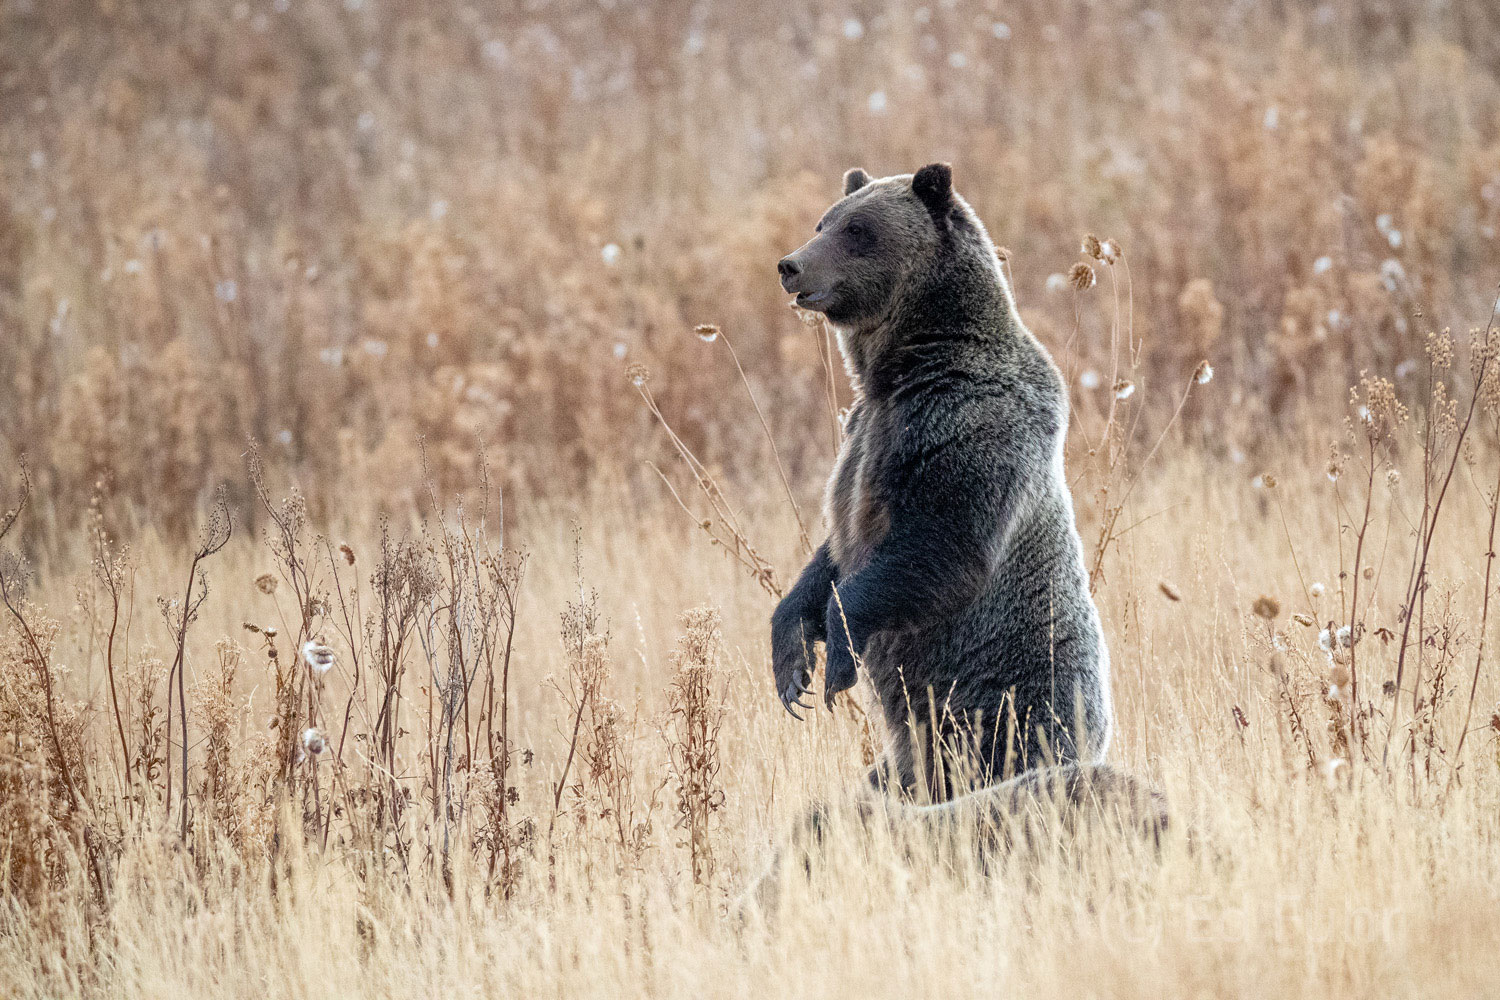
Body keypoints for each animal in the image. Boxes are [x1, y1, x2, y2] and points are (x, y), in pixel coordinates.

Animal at [774, 158, 1146, 815]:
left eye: (858, 231)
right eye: (824, 221)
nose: (791, 264)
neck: (904, 367)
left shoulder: (964, 427)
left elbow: (942, 543)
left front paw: (839, 658)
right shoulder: (861, 433)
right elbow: (830, 551)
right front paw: (791, 661)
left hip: (1005, 704)